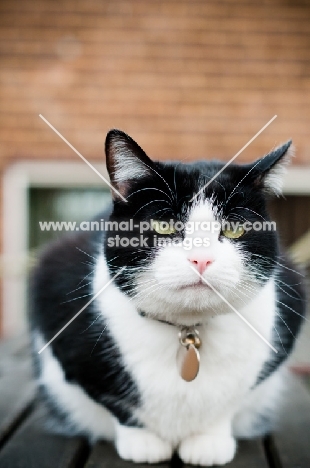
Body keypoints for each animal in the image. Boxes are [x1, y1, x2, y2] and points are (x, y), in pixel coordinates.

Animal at [30, 130, 306, 466]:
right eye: (164, 226)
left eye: (234, 229)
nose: (201, 259)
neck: (187, 329)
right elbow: (115, 402)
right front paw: (143, 442)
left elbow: (231, 401)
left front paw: (208, 441)